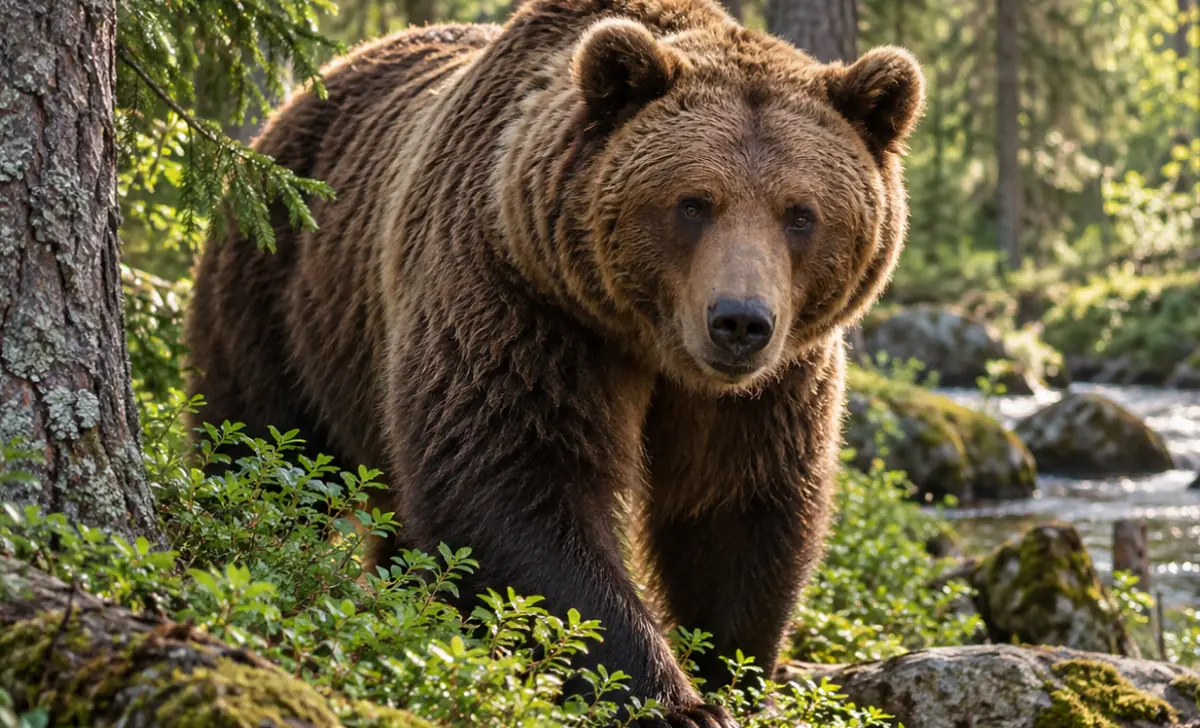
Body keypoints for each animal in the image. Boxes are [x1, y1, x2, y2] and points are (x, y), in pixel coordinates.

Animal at [184, 0, 924, 724]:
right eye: (693, 203)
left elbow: (737, 506)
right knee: (265, 449)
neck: (650, 343)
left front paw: (733, 677)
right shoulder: (521, 299)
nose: (740, 321)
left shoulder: (771, 383)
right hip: (282, 288)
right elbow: (518, 482)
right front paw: (669, 701)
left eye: (800, 213)